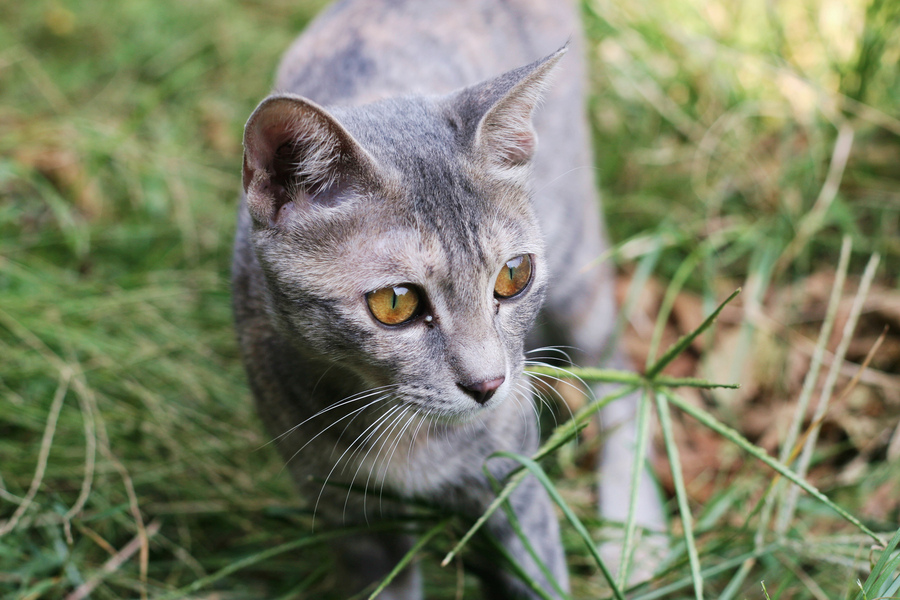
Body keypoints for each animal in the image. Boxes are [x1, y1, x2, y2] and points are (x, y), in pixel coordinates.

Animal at [236, 1, 664, 600]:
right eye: (395, 303)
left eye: (514, 275)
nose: (488, 384)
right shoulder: (351, 517)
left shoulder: (514, 488)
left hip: (578, 257)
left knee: (621, 373)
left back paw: (635, 535)